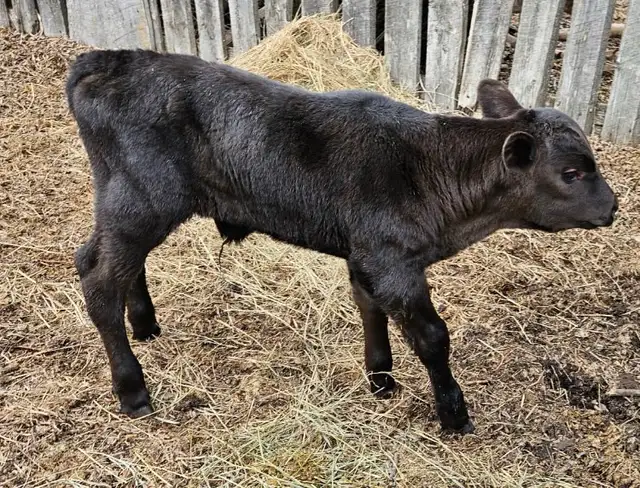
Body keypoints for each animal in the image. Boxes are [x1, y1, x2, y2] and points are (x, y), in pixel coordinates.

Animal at [66, 49, 617, 433]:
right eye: (571, 173)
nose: (613, 207)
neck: (428, 168)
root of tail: (107, 59)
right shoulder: (394, 261)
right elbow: (433, 337)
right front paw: (454, 415)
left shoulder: (366, 255)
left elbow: (370, 310)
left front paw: (381, 380)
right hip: (143, 199)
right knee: (96, 275)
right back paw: (133, 391)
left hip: (127, 200)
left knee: (122, 265)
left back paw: (145, 325)